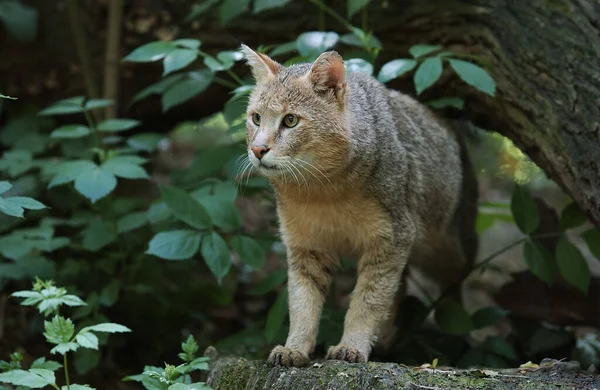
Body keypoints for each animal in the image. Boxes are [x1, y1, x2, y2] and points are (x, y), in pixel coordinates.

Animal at [239, 45, 478, 366]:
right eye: (256, 118)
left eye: (290, 120)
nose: (257, 149)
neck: (323, 192)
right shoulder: (305, 246)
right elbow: (302, 304)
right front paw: (295, 347)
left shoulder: (392, 239)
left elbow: (368, 301)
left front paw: (352, 345)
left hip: (449, 251)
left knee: (455, 287)